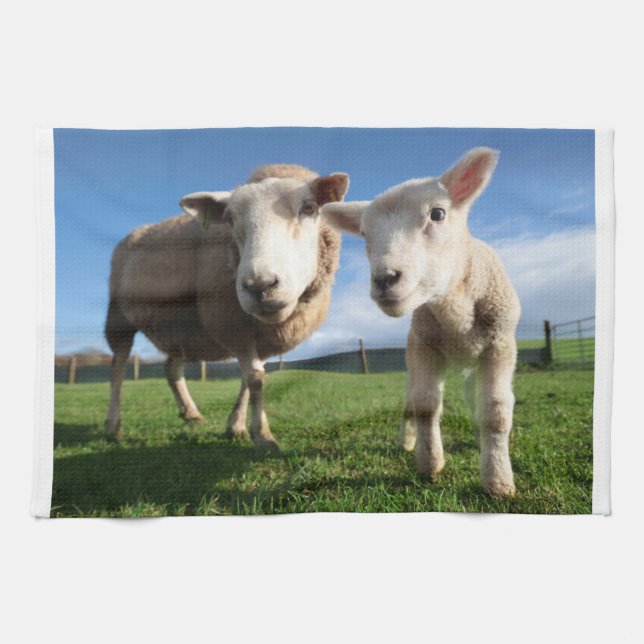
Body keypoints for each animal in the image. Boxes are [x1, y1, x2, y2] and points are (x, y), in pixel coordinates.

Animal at [105, 164, 349, 450]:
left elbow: (249, 378)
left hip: (180, 327)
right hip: (118, 317)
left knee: (171, 368)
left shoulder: (262, 337)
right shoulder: (233, 326)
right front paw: (262, 436)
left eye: (309, 208)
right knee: (118, 367)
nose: (260, 286)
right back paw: (113, 427)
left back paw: (191, 414)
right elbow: (255, 379)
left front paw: (236, 426)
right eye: (230, 219)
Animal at [322, 148, 520, 496]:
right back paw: (407, 441)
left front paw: (498, 481)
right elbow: (425, 406)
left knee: (475, 398)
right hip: (412, 356)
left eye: (438, 214)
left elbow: (495, 411)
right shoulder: (425, 348)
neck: (455, 313)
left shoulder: (500, 345)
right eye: (364, 233)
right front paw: (430, 465)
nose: (385, 279)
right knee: (410, 400)